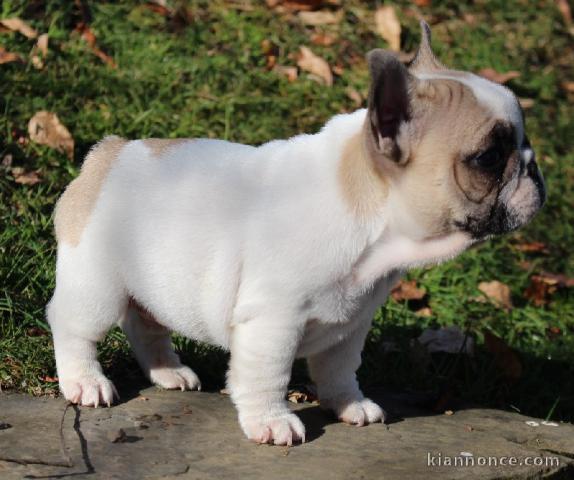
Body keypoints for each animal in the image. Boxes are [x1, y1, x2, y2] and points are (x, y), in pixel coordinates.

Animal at [47, 22, 548, 446]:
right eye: (488, 158)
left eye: (523, 144)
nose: (534, 166)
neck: (369, 217)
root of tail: (108, 153)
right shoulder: (273, 321)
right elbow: (267, 376)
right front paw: (272, 421)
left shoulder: (351, 325)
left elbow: (340, 369)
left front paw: (350, 405)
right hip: (97, 285)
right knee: (72, 325)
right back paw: (85, 381)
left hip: (153, 280)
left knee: (145, 324)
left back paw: (169, 372)